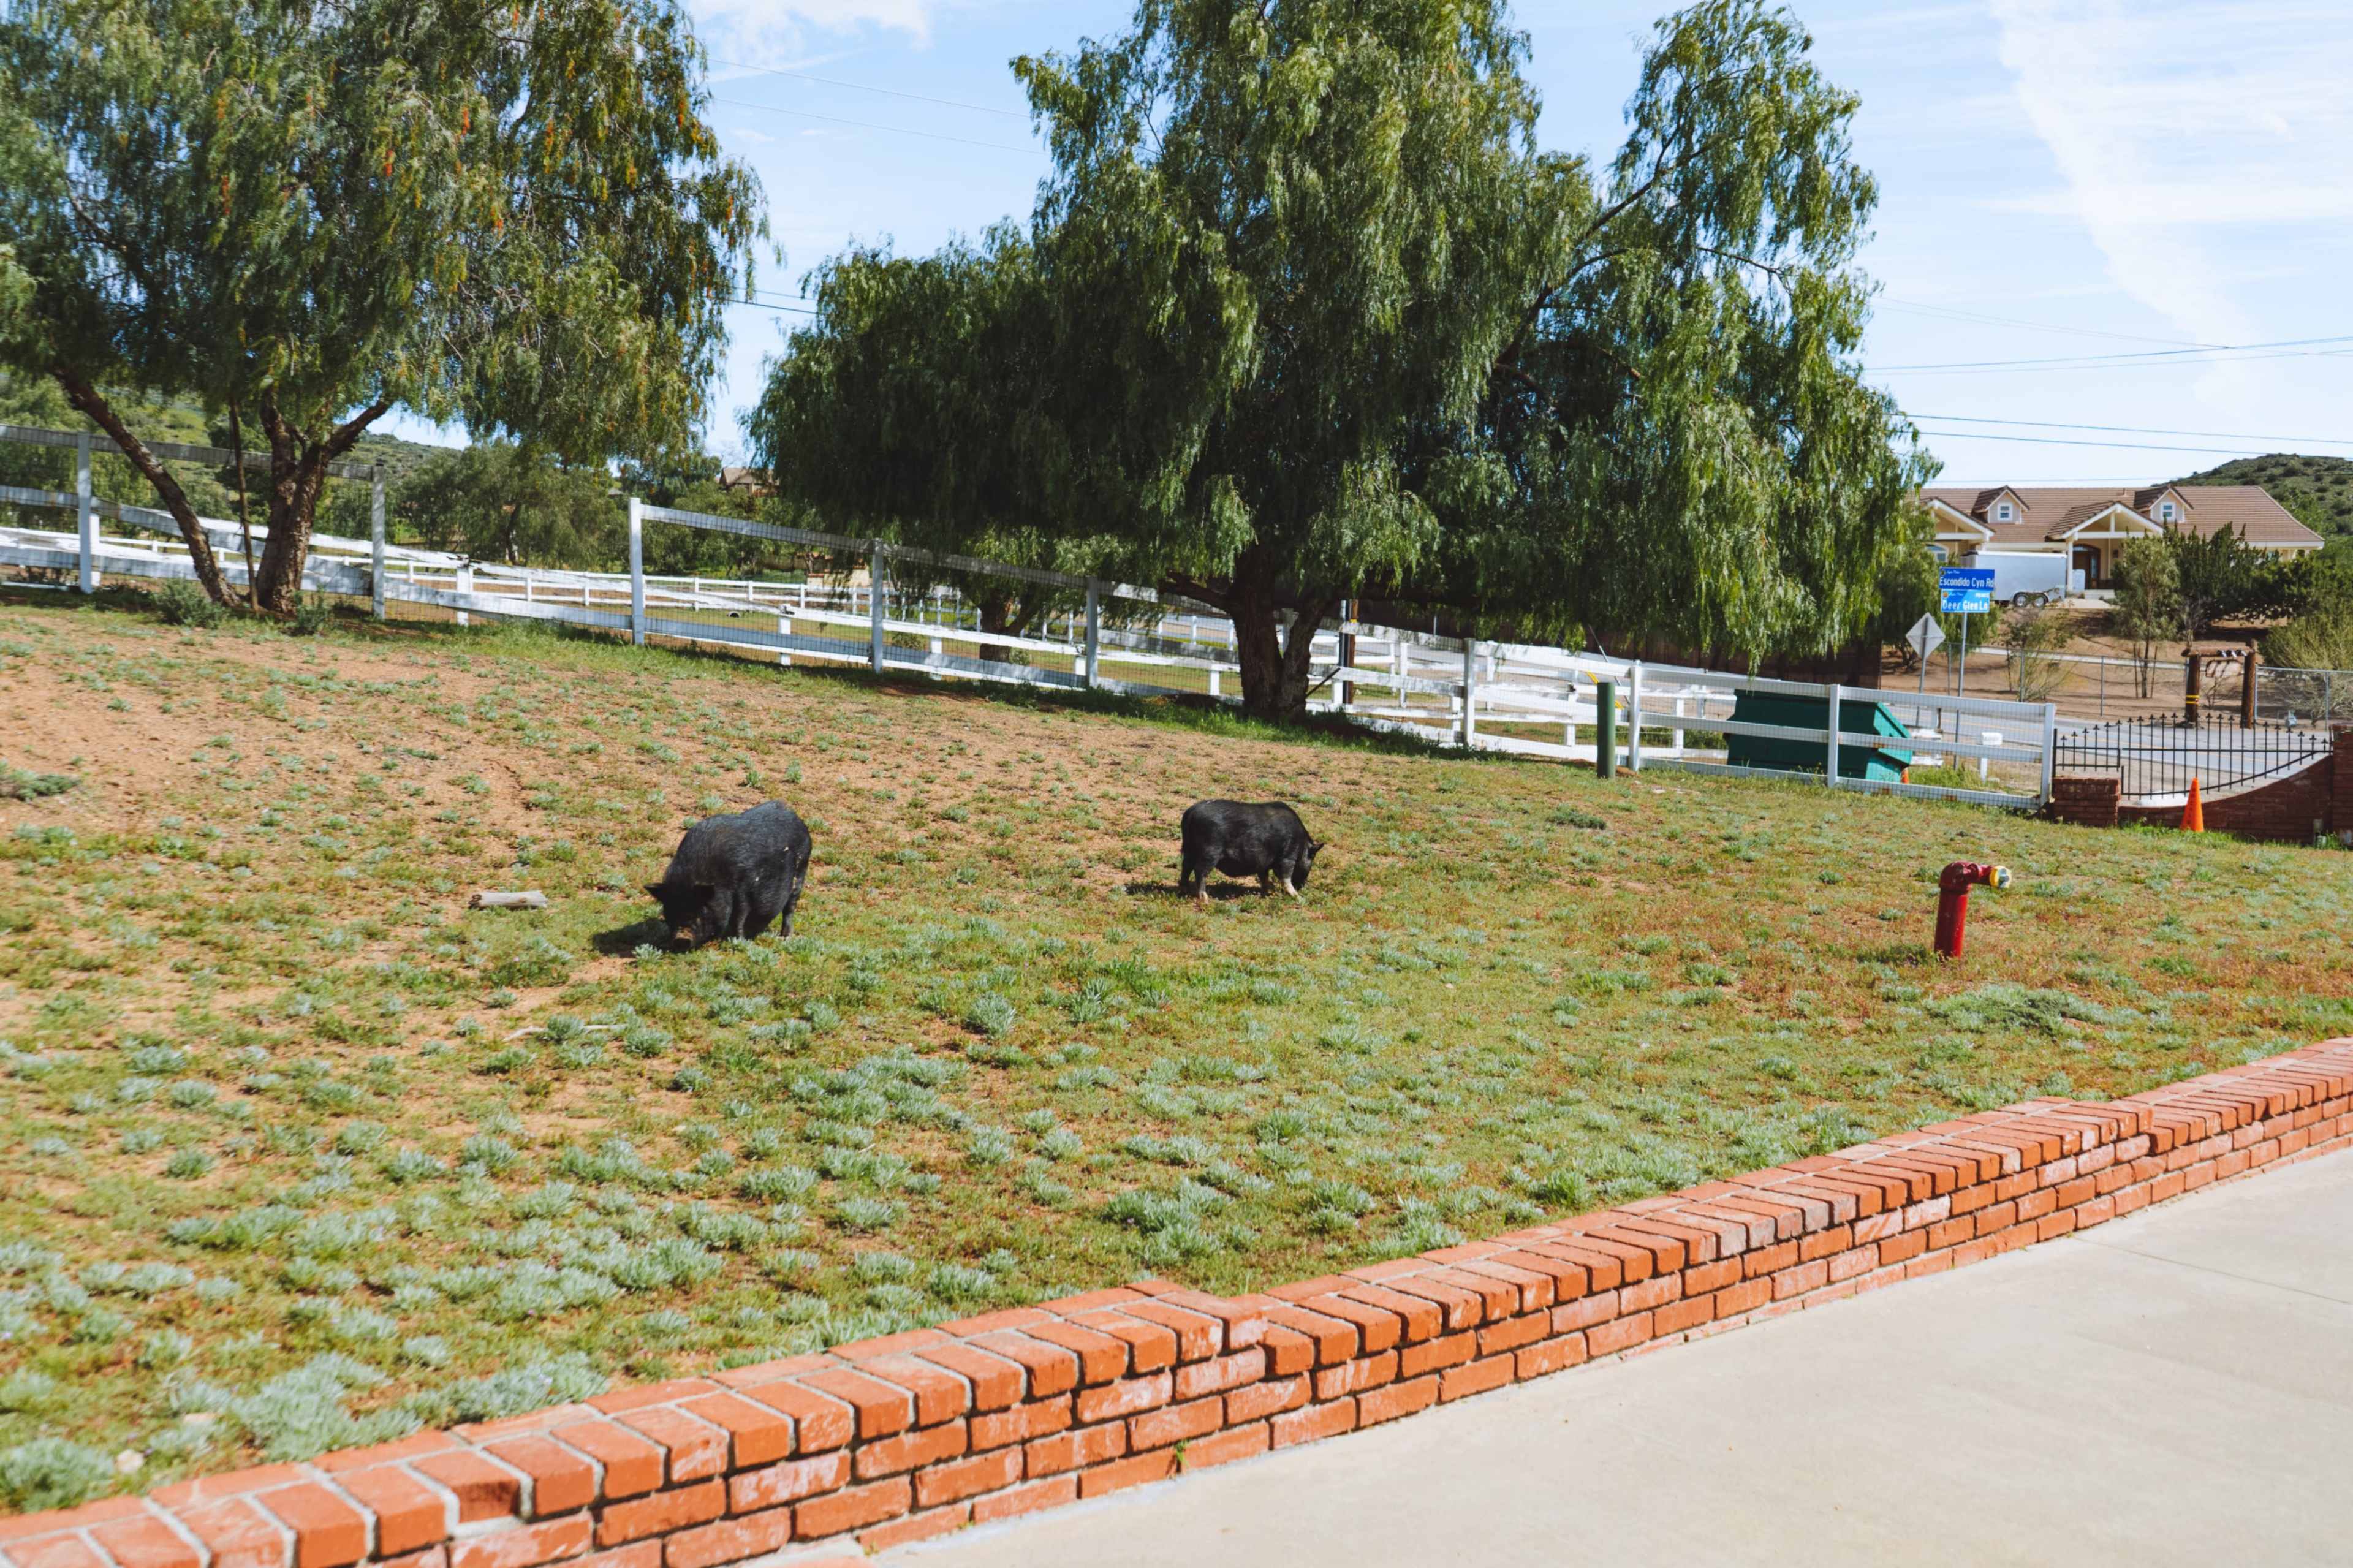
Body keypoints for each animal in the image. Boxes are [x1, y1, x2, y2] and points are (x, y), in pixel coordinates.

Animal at [645, 801, 813, 947]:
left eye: (701, 909)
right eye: (670, 910)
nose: (682, 938)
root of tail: (800, 821)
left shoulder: (743, 889)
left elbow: (738, 917)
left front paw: (739, 942)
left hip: (801, 871)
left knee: (790, 908)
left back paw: (785, 938)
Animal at [1178, 799, 1322, 902]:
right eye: (1312, 857)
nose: (1302, 887)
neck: (1302, 844)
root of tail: (1191, 813)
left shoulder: (1264, 864)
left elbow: (1264, 877)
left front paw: (1269, 892)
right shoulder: (1288, 857)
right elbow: (1286, 877)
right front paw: (1299, 898)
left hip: (1189, 849)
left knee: (1186, 867)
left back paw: (1184, 891)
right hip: (1210, 851)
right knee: (1199, 871)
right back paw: (1205, 899)